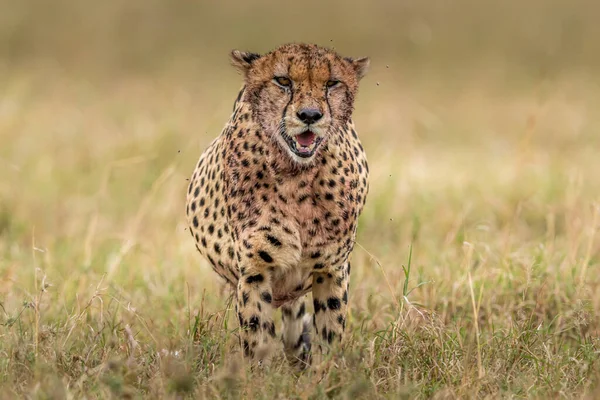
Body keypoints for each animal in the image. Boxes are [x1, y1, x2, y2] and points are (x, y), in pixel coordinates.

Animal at [185, 43, 368, 366]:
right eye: (283, 81)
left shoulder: (333, 268)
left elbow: (330, 331)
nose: (310, 115)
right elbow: (257, 334)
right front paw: (260, 374)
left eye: (331, 83)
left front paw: (327, 373)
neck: (298, 175)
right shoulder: (254, 271)